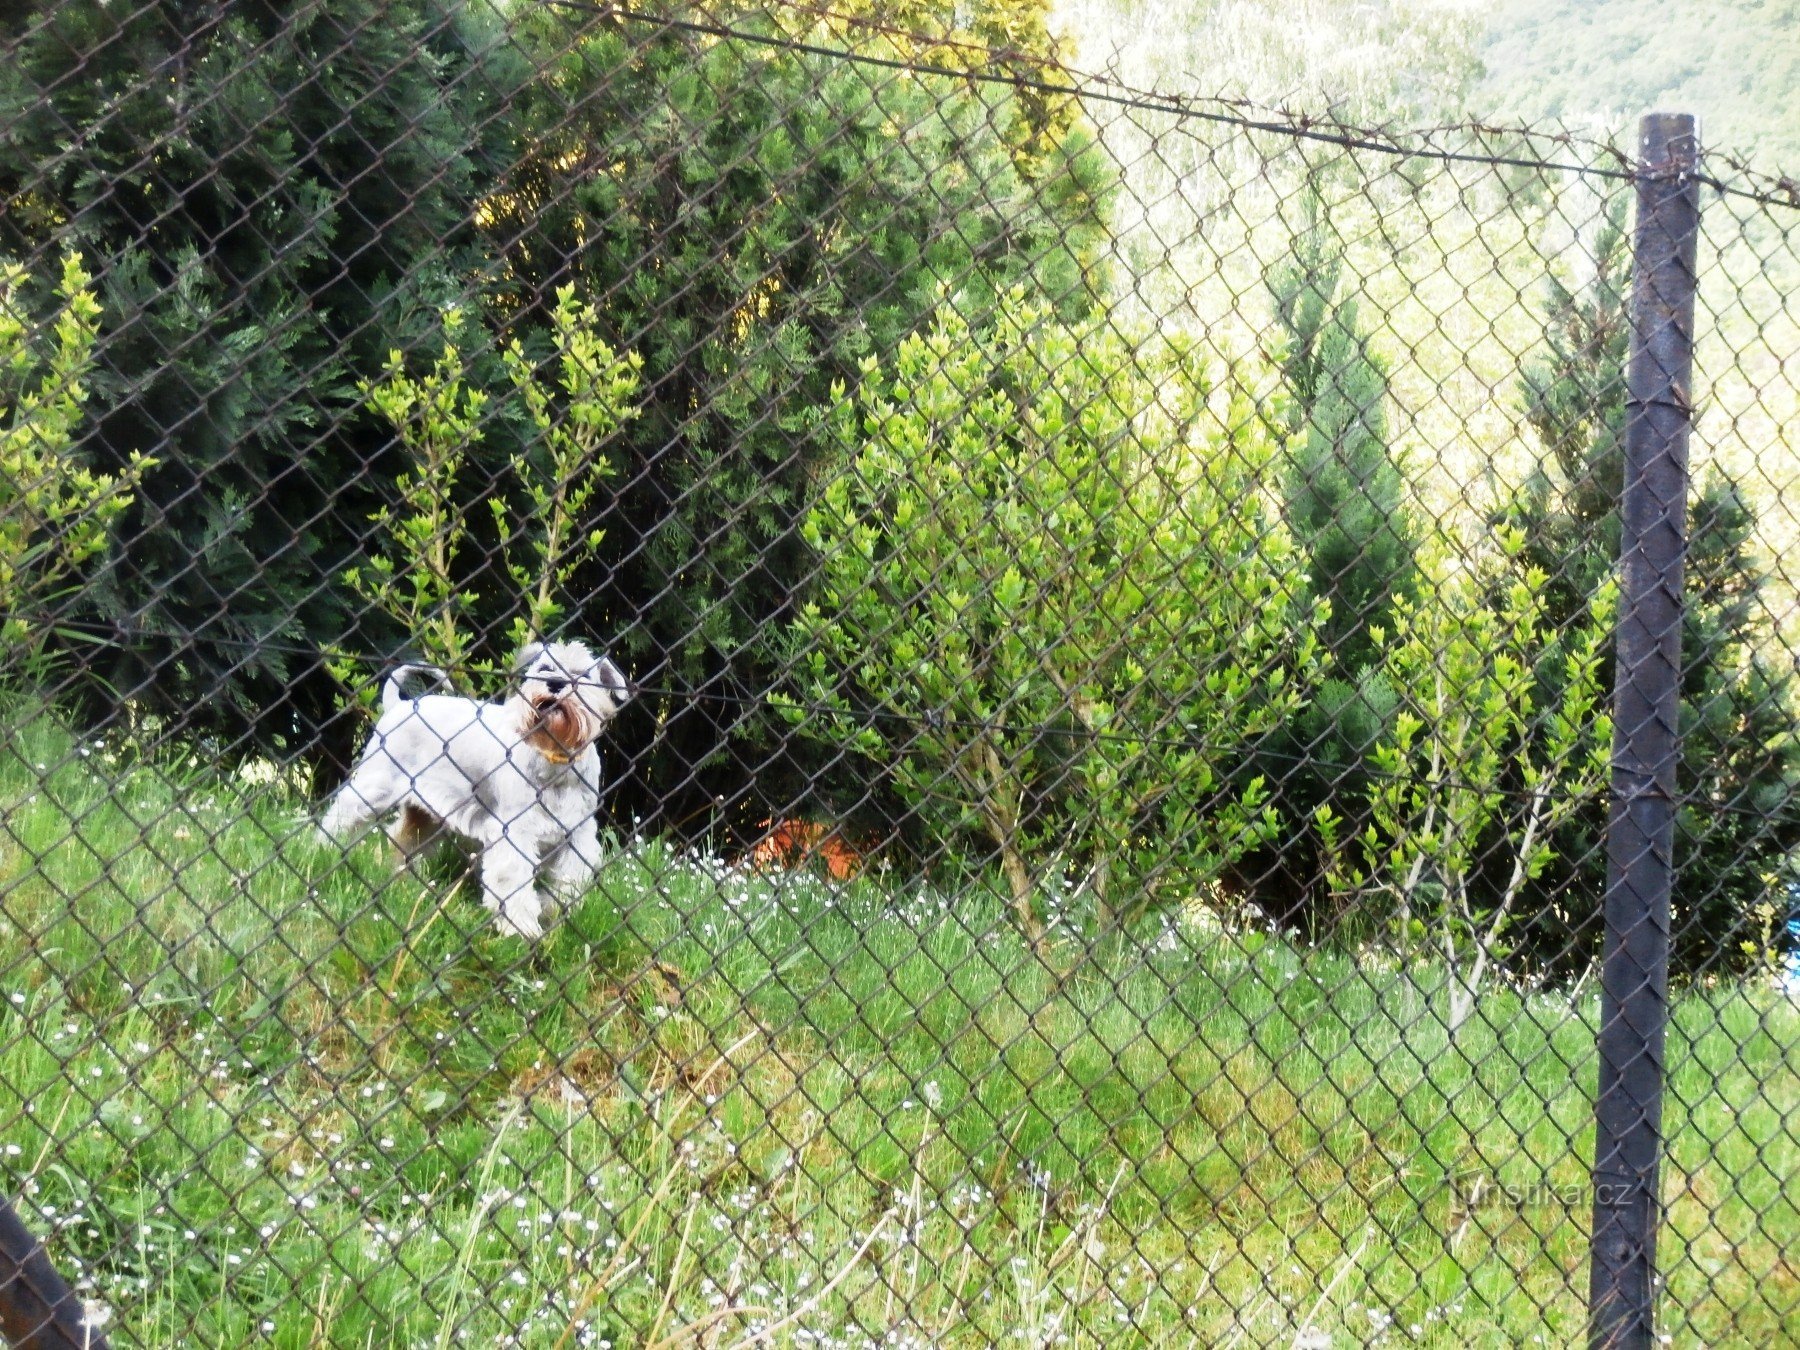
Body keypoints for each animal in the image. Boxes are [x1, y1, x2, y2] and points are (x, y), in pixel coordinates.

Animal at [320, 644, 637, 943]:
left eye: (583, 675)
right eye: (545, 668)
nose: (556, 683)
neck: (554, 758)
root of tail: (398, 705)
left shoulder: (577, 835)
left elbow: (570, 882)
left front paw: (551, 912)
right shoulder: (514, 833)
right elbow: (513, 882)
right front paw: (521, 929)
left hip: (425, 813)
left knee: (403, 838)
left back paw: (404, 880)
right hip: (374, 786)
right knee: (340, 817)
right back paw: (324, 852)